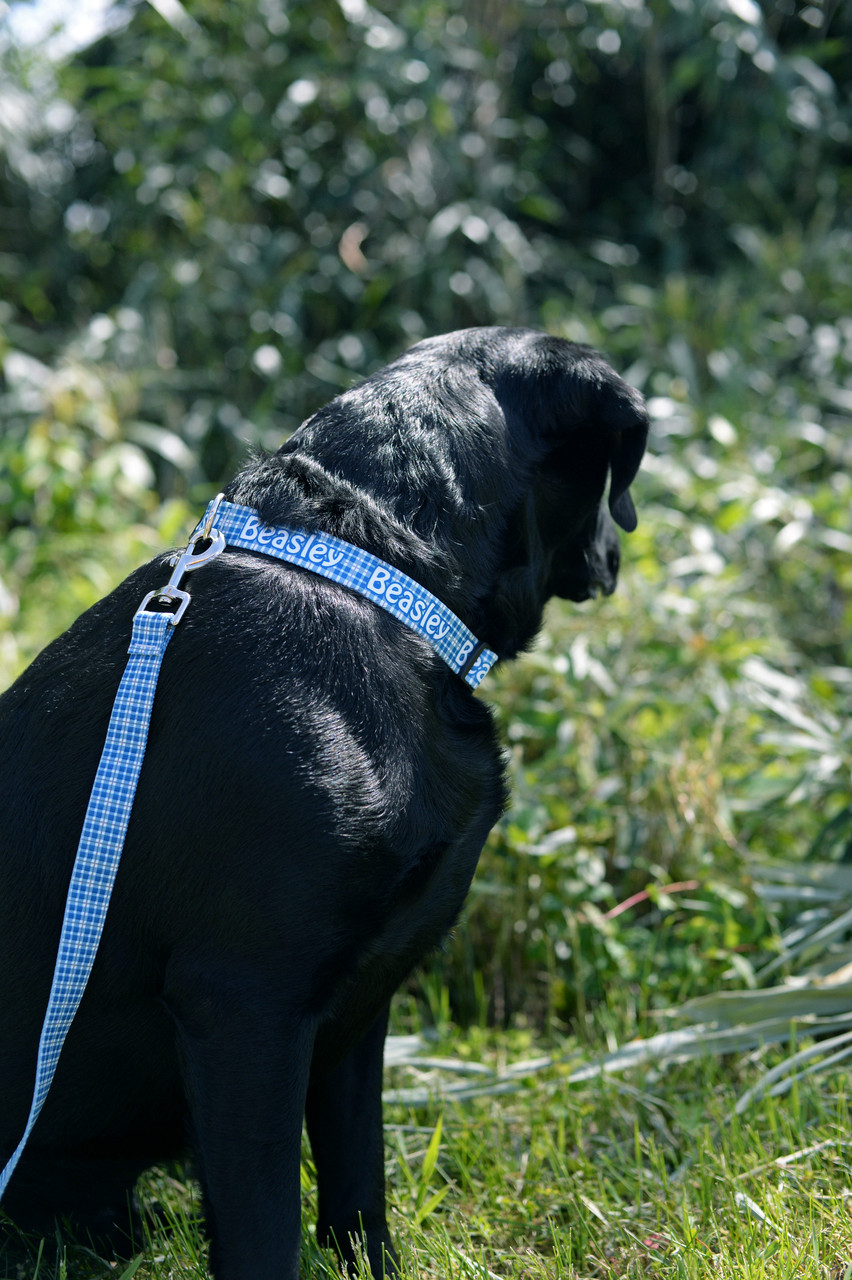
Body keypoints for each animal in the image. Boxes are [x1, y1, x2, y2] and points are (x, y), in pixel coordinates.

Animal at [0, 327, 644, 1269]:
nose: (619, 555)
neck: (374, 569)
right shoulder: (243, 1006)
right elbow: (266, 1233)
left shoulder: (355, 1008)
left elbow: (357, 1190)